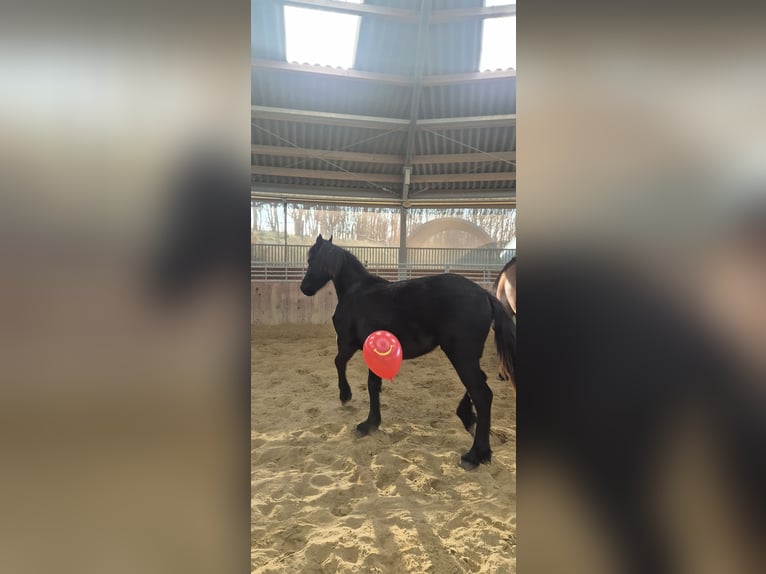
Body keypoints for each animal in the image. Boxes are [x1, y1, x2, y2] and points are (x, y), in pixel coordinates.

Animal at [299, 234, 516, 470]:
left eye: (311, 260)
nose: (304, 288)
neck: (356, 292)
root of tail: (484, 295)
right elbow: (373, 384)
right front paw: (371, 423)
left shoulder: (348, 344)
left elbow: (340, 363)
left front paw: (346, 396)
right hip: (469, 356)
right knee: (480, 384)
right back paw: (469, 423)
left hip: (462, 356)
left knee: (482, 394)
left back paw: (474, 455)